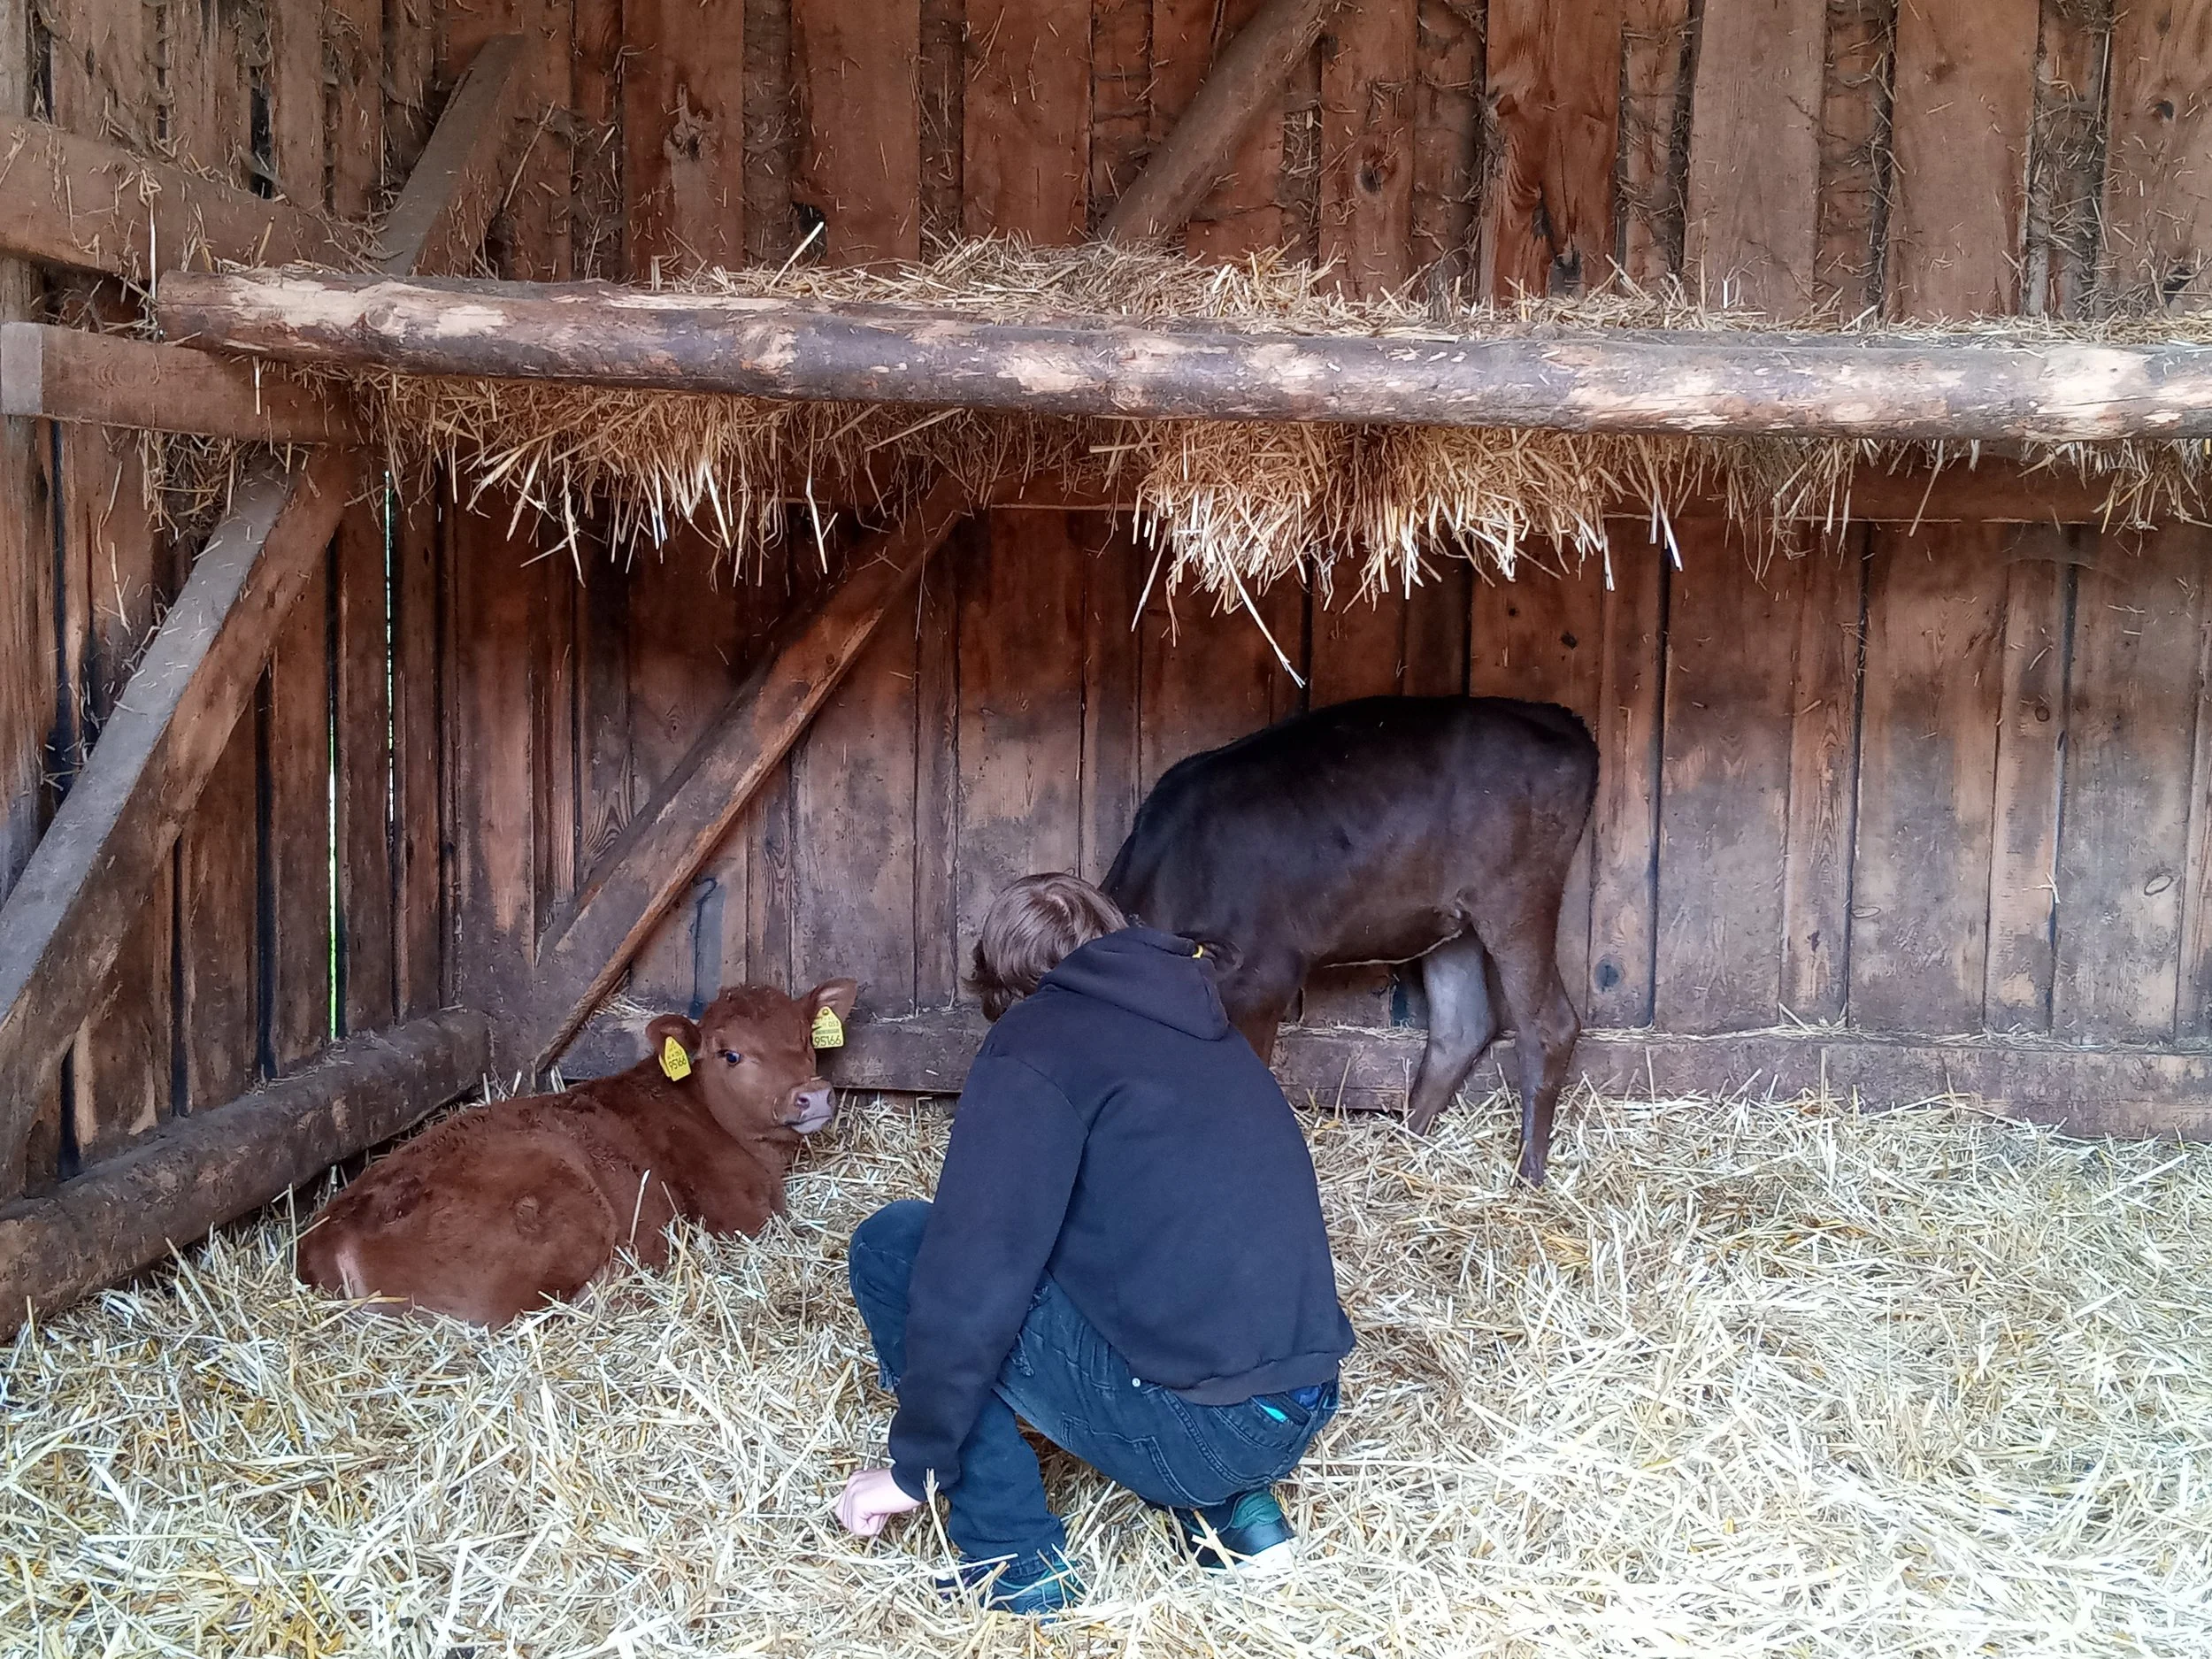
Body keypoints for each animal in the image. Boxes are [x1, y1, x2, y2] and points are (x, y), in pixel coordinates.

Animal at [1103, 695, 1597, 1186]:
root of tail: (1562, 718)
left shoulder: (1264, 980)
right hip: (1455, 919)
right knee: (1461, 1026)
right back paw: (1404, 1147)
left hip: (1516, 894)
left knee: (1548, 1025)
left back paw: (1527, 1175)